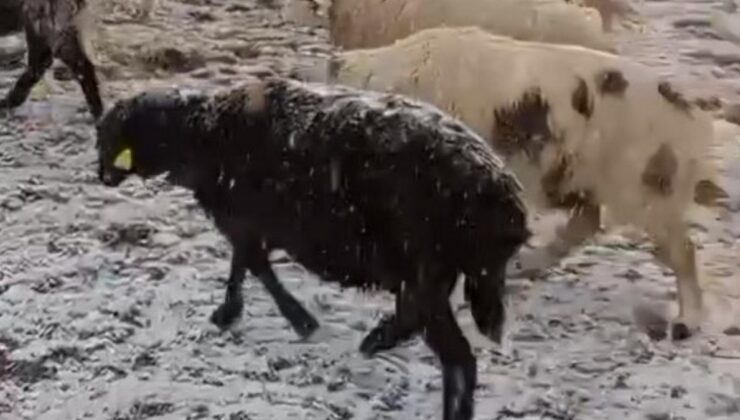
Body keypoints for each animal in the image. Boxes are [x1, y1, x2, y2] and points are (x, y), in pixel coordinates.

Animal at [94, 74, 532, 420]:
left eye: (110, 136)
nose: (101, 176)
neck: (201, 131)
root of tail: (505, 198)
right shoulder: (248, 223)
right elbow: (243, 264)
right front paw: (233, 314)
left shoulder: (242, 220)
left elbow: (253, 266)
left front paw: (293, 319)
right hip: (436, 275)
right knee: (423, 328)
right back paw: (377, 339)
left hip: (425, 269)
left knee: (457, 359)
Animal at [326, 25, 728, 342]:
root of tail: (691, 109)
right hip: (584, 182)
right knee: (586, 224)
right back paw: (524, 267)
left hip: (646, 189)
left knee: (682, 251)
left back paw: (683, 327)